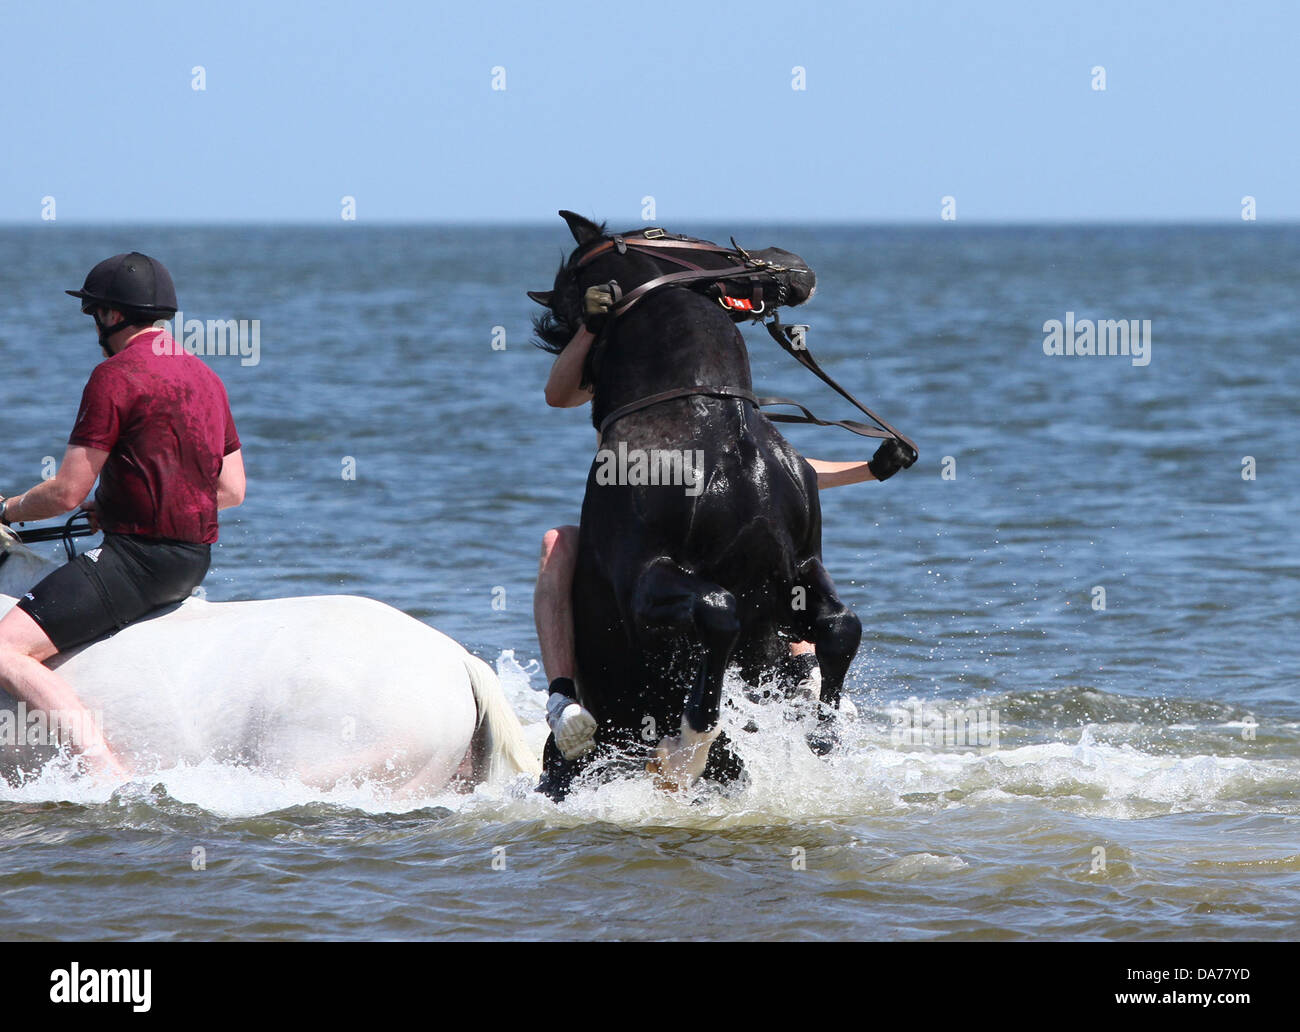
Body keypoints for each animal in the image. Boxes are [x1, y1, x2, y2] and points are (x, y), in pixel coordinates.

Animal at [528, 211, 862, 798]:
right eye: (660, 232)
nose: (792, 263)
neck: (711, 422)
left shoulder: (799, 570)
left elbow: (843, 626)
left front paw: (823, 741)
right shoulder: (645, 586)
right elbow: (719, 611)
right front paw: (687, 747)